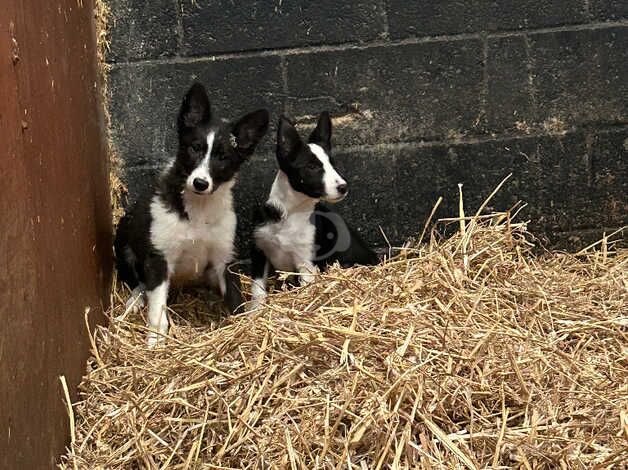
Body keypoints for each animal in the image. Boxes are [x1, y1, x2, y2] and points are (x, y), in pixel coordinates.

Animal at [115, 82, 270, 344]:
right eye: (195, 148)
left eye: (223, 157)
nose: (200, 183)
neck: (199, 207)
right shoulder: (159, 259)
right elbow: (157, 310)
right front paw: (155, 340)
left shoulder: (224, 259)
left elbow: (236, 300)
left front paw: (242, 327)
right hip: (124, 239)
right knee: (139, 282)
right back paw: (136, 299)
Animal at [250, 112, 378, 306]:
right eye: (311, 167)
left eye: (333, 164)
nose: (344, 187)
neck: (291, 213)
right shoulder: (259, 250)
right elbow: (257, 289)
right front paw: (255, 309)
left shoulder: (306, 263)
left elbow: (306, 290)